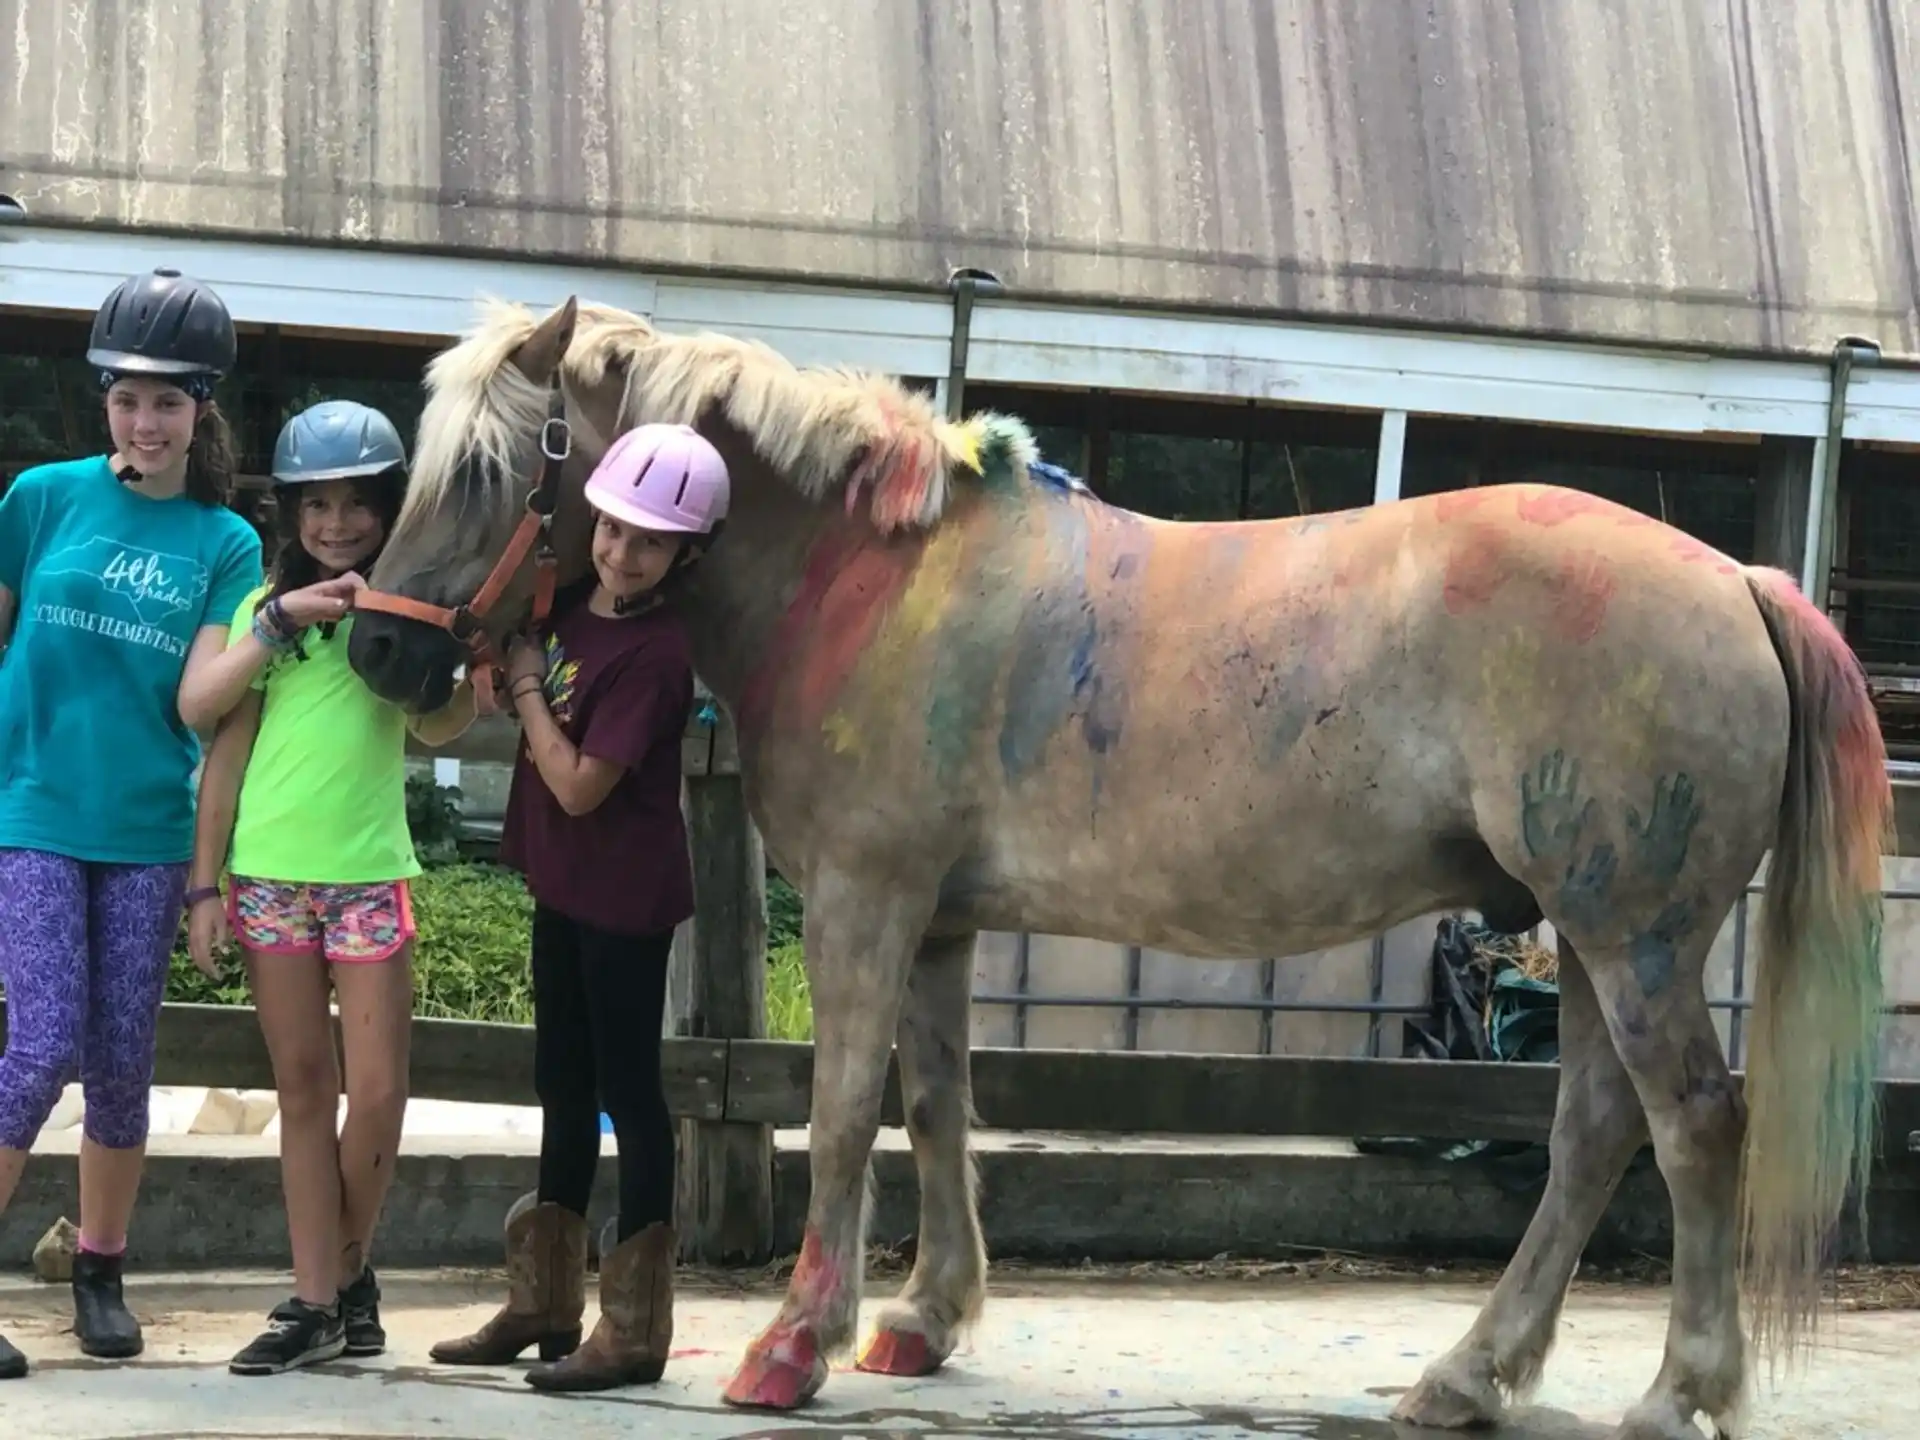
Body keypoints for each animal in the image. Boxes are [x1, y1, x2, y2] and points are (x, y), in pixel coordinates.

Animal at [345, 295, 1892, 1440]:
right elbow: (939, 1107)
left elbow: (843, 1116)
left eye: (486, 469)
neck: (870, 578)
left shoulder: (862, 902)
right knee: (1586, 1135)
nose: (378, 651)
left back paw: (1679, 1391)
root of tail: (1739, 580)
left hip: (1635, 939)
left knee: (1693, 1130)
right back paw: (1469, 1377)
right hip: (1582, 937)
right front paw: (923, 1320)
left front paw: (793, 1345)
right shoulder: (940, 924)